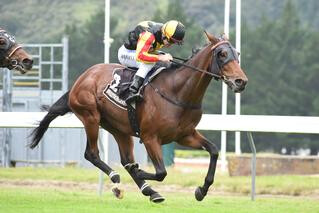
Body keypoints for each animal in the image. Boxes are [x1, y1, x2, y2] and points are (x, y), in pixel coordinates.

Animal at [30, 32, 249, 203]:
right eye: (222, 54)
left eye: (237, 53)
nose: (241, 81)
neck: (178, 92)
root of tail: (81, 78)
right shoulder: (150, 137)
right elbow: (161, 172)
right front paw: (139, 171)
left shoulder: (185, 135)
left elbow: (213, 150)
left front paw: (201, 190)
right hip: (90, 117)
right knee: (92, 154)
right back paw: (118, 178)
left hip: (119, 129)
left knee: (125, 159)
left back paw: (150, 191)